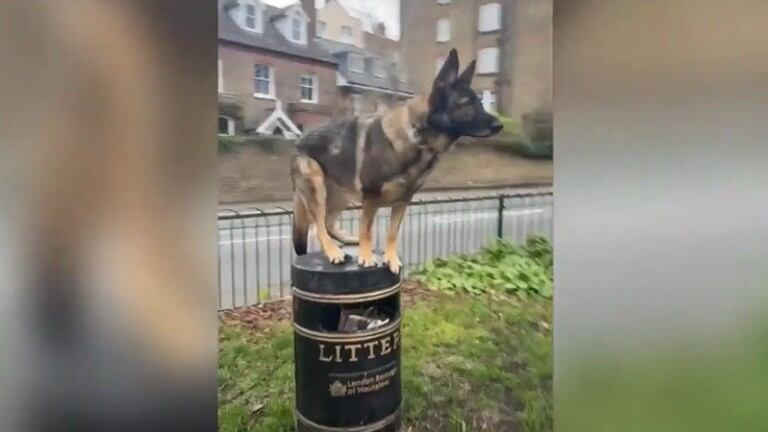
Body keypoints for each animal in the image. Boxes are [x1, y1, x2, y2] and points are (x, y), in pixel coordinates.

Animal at [292, 49, 500, 274]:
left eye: (480, 103)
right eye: (467, 103)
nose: (500, 125)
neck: (418, 137)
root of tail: (298, 142)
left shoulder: (403, 201)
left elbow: (392, 232)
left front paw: (390, 258)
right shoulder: (371, 198)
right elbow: (366, 229)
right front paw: (367, 257)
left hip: (340, 196)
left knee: (328, 222)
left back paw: (346, 240)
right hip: (317, 188)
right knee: (319, 225)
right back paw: (333, 251)